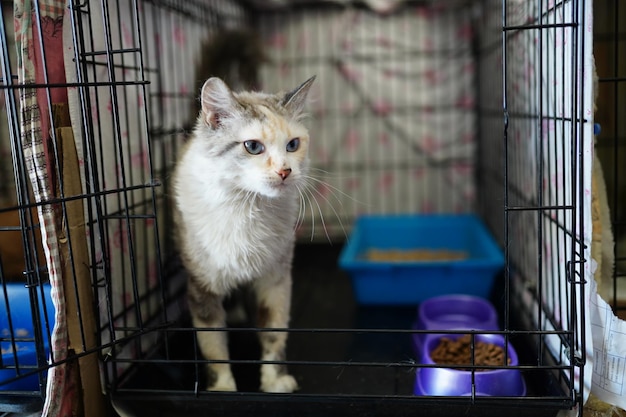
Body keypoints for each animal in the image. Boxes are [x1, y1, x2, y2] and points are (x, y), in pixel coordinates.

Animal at [171, 76, 314, 392]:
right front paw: (223, 388)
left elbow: (273, 334)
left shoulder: (276, 281)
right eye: (252, 146)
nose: (285, 171)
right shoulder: (202, 288)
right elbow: (213, 345)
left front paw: (275, 382)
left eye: (293, 145)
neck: (246, 206)